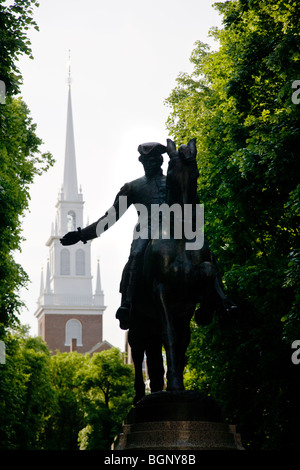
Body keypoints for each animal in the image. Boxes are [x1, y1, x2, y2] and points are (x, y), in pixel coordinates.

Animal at [127, 139, 233, 400]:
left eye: (195, 174)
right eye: (172, 174)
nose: (186, 220)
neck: (181, 240)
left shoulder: (186, 303)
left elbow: (208, 271)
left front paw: (206, 312)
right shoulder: (161, 292)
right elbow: (171, 336)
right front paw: (174, 383)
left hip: (152, 323)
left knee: (154, 357)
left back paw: (156, 387)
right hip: (137, 323)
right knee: (138, 352)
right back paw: (139, 395)